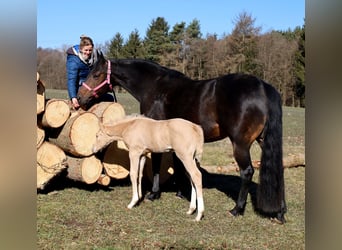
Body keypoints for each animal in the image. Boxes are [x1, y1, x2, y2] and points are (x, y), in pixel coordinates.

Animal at [77, 52, 286, 223]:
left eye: (96, 74)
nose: (79, 98)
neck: (155, 86)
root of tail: (263, 87)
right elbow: (179, 166)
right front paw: (181, 193)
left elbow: (157, 163)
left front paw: (154, 194)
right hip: (263, 141)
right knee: (278, 171)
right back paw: (280, 213)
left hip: (240, 144)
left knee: (247, 171)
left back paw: (237, 209)